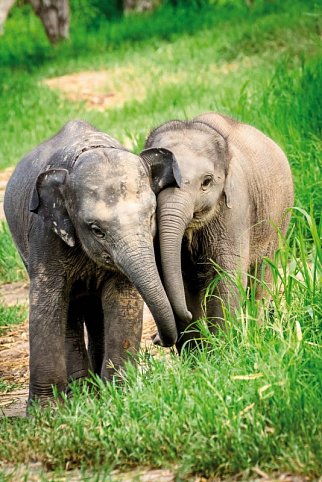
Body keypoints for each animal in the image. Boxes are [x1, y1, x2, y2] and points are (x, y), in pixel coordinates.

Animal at [3, 120, 179, 406]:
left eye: (152, 216)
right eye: (96, 230)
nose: (156, 339)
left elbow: (123, 300)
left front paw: (119, 397)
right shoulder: (45, 232)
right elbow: (47, 302)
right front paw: (46, 411)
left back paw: (92, 390)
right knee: (70, 310)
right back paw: (80, 392)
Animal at [142, 115, 294, 352]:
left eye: (206, 182)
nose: (156, 339)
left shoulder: (235, 209)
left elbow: (227, 275)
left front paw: (223, 351)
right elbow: (178, 277)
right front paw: (196, 356)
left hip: (279, 221)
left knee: (261, 276)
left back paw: (256, 329)